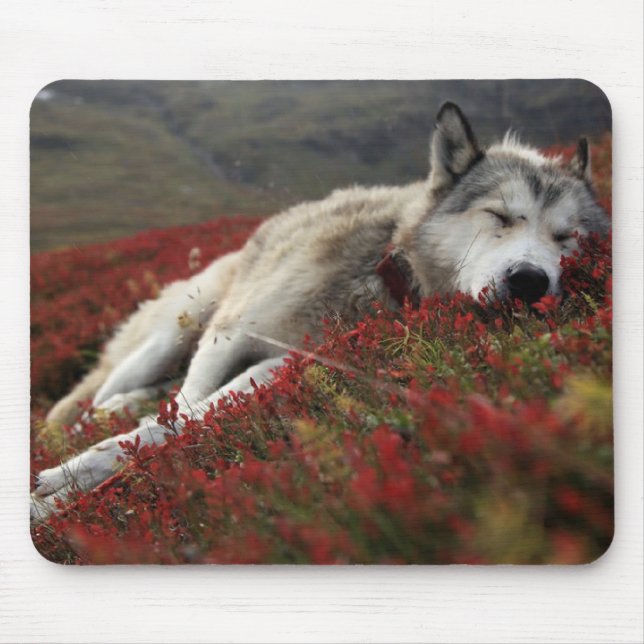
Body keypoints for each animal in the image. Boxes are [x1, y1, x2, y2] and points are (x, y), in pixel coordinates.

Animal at [31, 102, 609, 521]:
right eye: (499, 216)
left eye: (567, 237)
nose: (530, 281)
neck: (384, 271)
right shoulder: (229, 334)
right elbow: (183, 410)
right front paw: (75, 477)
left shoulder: (284, 363)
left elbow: (184, 421)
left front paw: (68, 491)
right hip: (178, 330)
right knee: (99, 396)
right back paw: (96, 415)